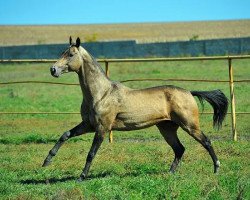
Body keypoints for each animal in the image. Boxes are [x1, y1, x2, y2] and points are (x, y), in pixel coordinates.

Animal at [43, 36, 229, 181]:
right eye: (62, 52)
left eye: (71, 54)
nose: (53, 69)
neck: (101, 93)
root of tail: (189, 92)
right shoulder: (88, 125)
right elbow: (65, 135)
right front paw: (46, 162)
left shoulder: (102, 128)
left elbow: (91, 153)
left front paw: (82, 177)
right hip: (167, 128)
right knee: (179, 149)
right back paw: (170, 173)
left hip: (190, 125)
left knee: (206, 141)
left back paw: (216, 169)